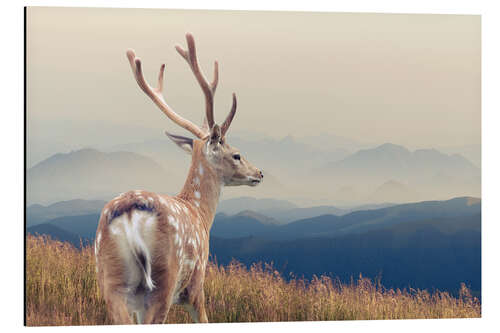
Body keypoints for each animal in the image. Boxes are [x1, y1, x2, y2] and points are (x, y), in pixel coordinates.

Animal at [95, 34, 264, 324]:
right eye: (237, 155)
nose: (259, 173)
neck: (200, 214)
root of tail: (130, 214)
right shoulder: (196, 284)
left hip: (111, 278)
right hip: (164, 280)